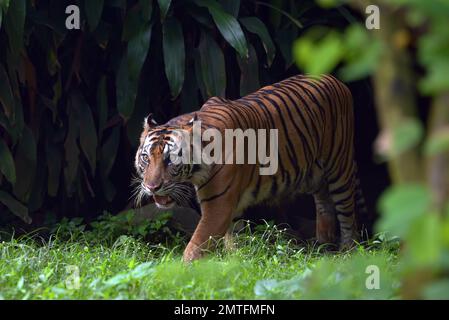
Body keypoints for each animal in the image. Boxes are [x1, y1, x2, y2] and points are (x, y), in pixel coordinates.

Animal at [135, 74, 366, 262]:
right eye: (146, 158)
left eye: (170, 160)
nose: (151, 187)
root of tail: (335, 79)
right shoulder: (230, 207)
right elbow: (232, 238)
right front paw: (234, 262)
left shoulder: (218, 205)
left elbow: (196, 246)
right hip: (315, 176)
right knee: (324, 205)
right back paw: (324, 247)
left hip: (339, 168)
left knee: (348, 215)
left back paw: (347, 252)